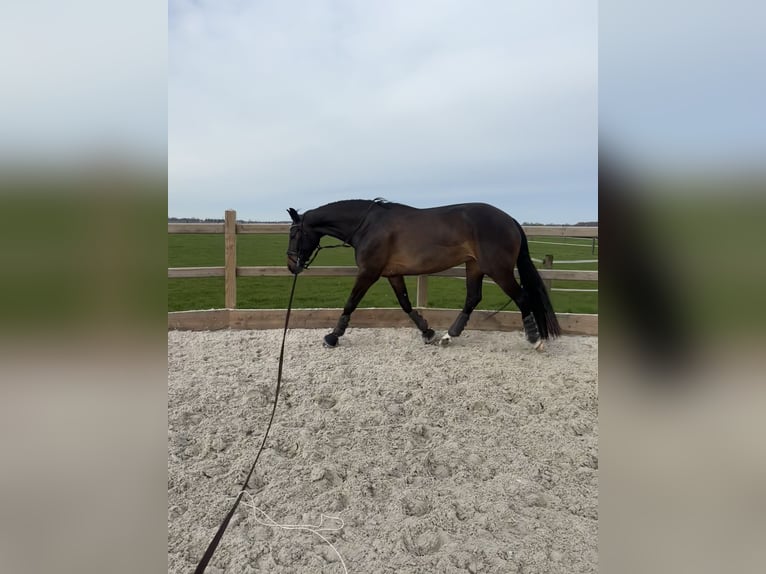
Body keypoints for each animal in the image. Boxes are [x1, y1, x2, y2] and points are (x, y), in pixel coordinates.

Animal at [286, 199, 561, 349]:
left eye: (293, 233)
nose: (291, 265)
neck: (368, 226)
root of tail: (510, 220)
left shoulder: (368, 272)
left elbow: (350, 303)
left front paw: (332, 337)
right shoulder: (392, 274)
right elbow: (406, 304)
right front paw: (427, 332)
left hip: (498, 269)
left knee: (522, 298)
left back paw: (534, 339)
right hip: (474, 266)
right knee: (473, 298)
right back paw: (448, 336)